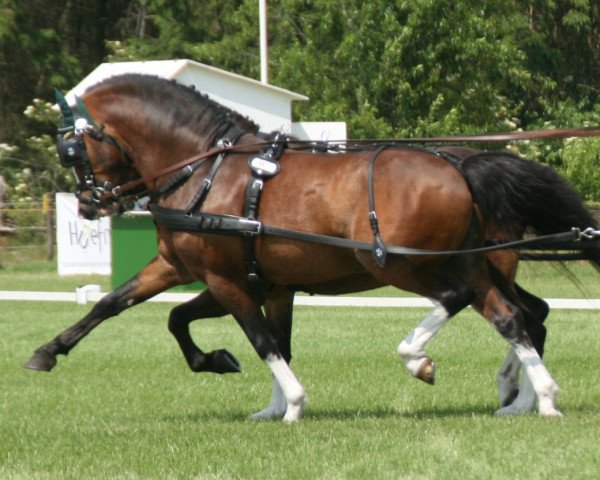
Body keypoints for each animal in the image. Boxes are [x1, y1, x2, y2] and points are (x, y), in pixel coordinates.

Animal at [23, 74, 596, 420]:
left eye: (72, 148)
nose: (89, 205)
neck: (207, 170)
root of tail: (459, 164)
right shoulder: (222, 275)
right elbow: (122, 305)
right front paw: (48, 352)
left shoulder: (228, 282)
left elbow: (260, 340)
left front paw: (291, 402)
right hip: (474, 264)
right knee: (513, 316)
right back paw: (537, 399)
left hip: (401, 266)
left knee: (466, 302)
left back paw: (422, 360)